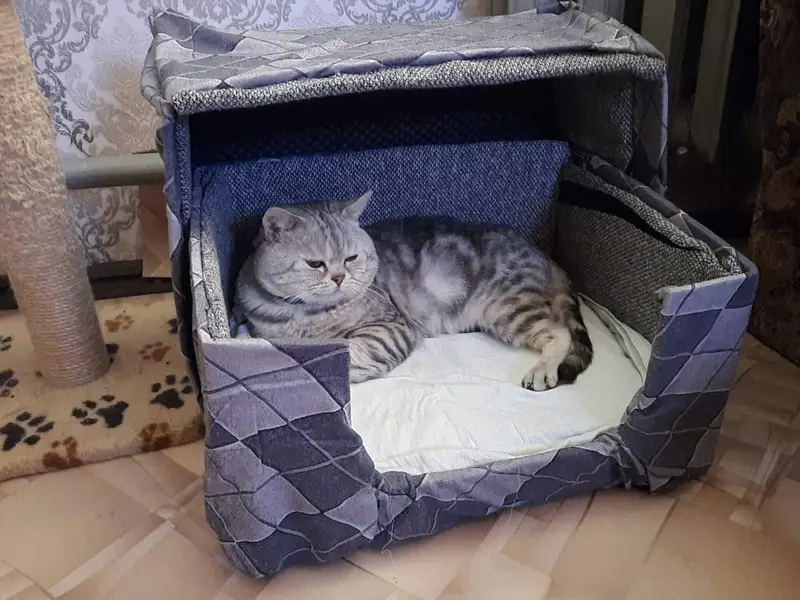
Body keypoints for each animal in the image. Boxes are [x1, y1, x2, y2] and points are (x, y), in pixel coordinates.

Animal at [235, 191, 593, 390]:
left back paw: (543, 370)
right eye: (314, 263)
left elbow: (352, 354)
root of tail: (542, 253)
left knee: (560, 333)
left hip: (507, 306)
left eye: (351, 258)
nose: (339, 278)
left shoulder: (391, 327)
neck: (307, 316)